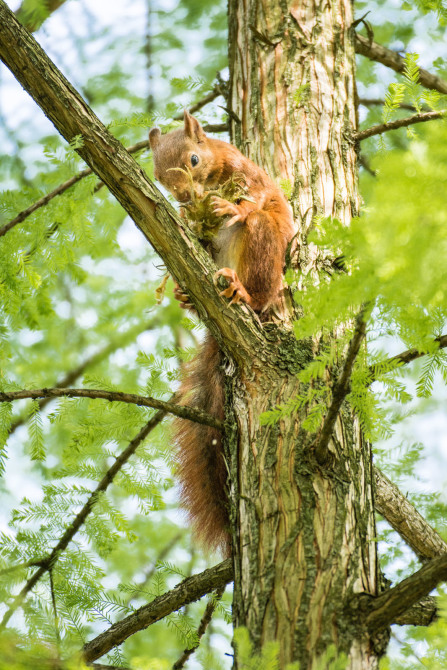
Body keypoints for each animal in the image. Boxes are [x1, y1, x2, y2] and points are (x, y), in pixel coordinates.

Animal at [150, 111, 296, 556]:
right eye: (158, 175)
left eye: (194, 160)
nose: (184, 197)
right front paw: (187, 217)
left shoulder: (248, 173)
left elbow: (253, 196)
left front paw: (225, 205)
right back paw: (185, 295)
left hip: (264, 250)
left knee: (258, 252)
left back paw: (243, 291)